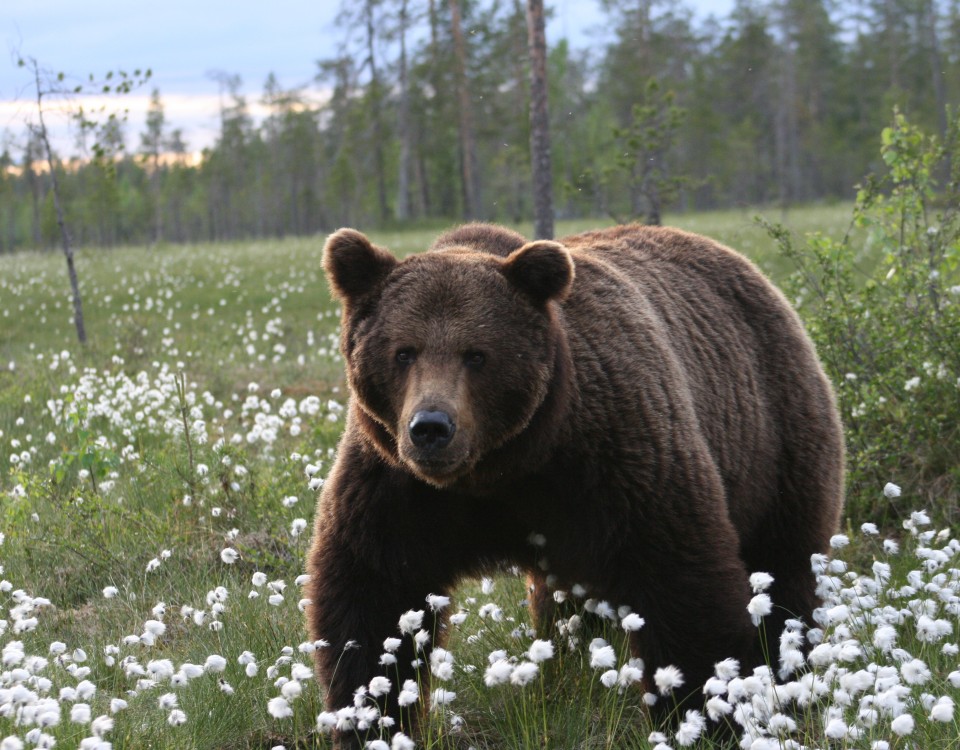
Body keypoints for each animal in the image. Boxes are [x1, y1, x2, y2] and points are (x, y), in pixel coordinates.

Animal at [304, 223, 844, 748]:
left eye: (476, 354)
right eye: (403, 351)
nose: (432, 428)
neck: (499, 469)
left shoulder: (614, 459)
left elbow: (680, 578)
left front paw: (707, 715)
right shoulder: (397, 487)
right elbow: (372, 596)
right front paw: (368, 719)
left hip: (773, 439)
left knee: (783, 569)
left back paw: (790, 672)